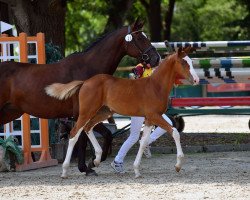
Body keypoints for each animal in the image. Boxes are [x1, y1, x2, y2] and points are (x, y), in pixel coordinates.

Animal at [0, 19, 160, 175]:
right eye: (139, 38)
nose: (156, 58)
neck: (88, 69)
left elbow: (106, 135)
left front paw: (92, 162)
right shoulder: (81, 115)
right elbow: (83, 140)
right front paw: (87, 166)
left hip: (10, 112)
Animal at [46, 46, 199, 178]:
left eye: (191, 62)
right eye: (184, 62)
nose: (196, 80)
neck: (156, 86)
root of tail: (85, 82)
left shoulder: (149, 119)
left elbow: (143, 141)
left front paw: (137, 170)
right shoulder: (155, 116)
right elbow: (175, 132)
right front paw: (178, 165)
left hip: (103, 112)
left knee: (88, 128)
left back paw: (96, 159)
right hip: (86, 112)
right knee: (74, 133)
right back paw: (65, 171)